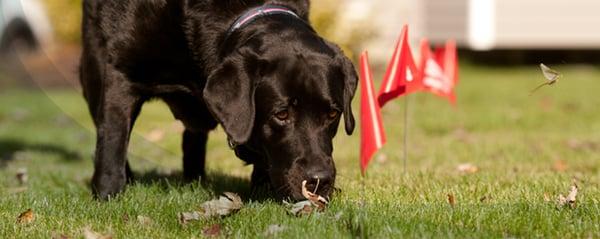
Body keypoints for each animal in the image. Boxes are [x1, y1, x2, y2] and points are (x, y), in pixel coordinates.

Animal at [79, 0, 356, 200]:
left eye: (333, 114)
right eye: (282, 114)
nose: (319, 180)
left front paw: (263, 187)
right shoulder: (122, 72)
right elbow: (113, 139)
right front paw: (108, 195)